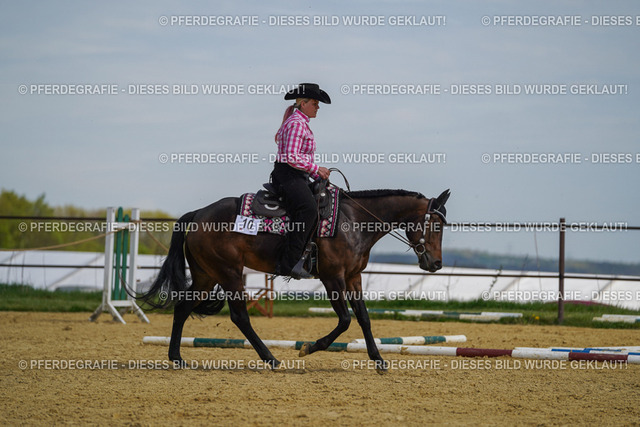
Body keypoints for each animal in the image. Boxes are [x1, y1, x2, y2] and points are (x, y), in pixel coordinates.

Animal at [142, 186, 450, 371]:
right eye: (435, 225)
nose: (436, 263)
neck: (354, 221)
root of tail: (198, 215)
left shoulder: (354, 277)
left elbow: (363, 318)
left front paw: (378, 359)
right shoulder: (333, 279)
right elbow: (345, 320)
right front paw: (309, 348)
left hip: (206, 276)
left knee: (182, 308)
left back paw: (177, 357)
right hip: (229, 274)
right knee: (240, 317)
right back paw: (271, 358)